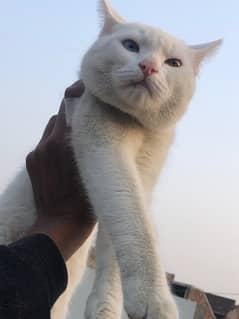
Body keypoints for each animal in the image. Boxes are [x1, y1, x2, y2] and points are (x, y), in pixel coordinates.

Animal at [0, 0, 221, 319]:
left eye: (173, 63)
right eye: (130, 45)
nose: (149, 66)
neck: (138, 128)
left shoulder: (146, 172)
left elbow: (117, 240)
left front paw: (106, 306)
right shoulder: (104, 150)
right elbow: (132, 216)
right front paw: (155, 299)